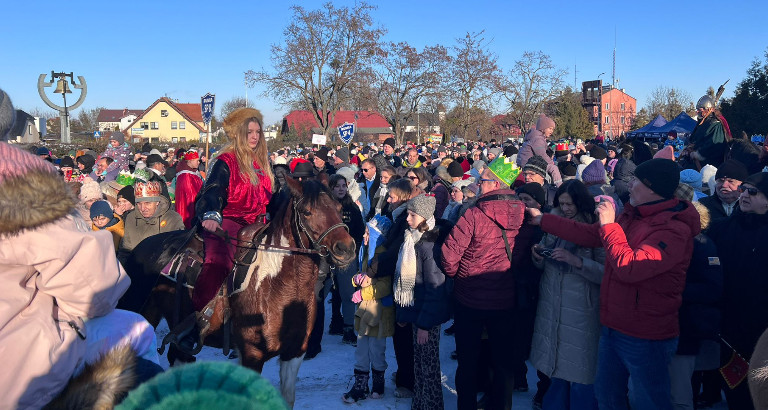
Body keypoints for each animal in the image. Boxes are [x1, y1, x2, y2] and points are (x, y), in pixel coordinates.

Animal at [121, 177, 356, 407]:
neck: (277, 285)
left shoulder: (294, 352)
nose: (345, 248)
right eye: (307, 211)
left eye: (338, 207)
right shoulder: (252, 354)